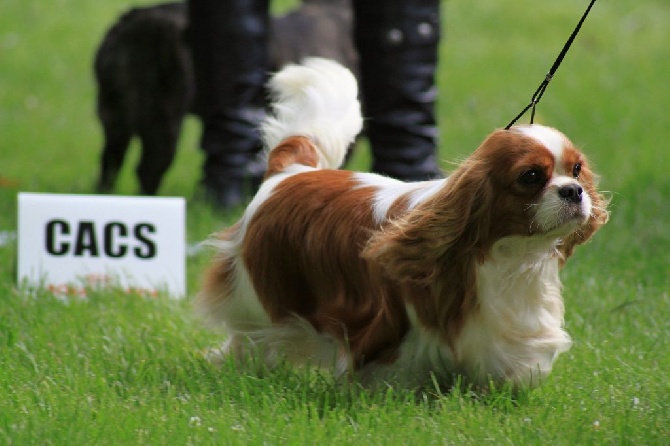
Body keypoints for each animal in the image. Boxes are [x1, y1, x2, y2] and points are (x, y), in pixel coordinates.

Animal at [197, 57, 612, 388]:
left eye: (576, 170)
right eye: (531, 177)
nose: (574, 191)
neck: (506, 255)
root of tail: (292, 172)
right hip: (259, 295)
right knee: (251, 337)